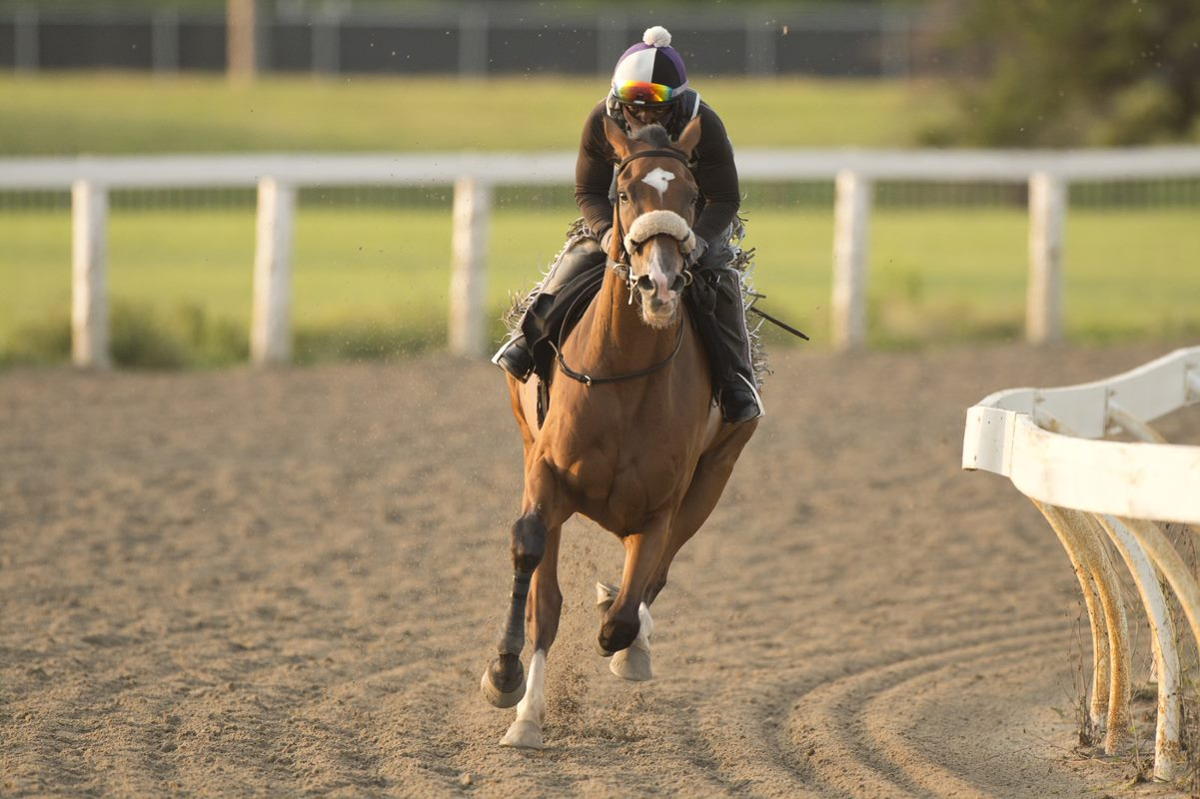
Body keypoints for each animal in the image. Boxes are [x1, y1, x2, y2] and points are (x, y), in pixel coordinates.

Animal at [482, 113, 753, 748]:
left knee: (655, 577)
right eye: (625, 193)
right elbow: (535, 574)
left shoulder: (661, 506)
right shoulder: (546, 475)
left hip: (714, 476)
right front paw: (512, 691)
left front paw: (620, 637)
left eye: (692, 194)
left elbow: (627, 611)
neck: (626, 376)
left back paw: (631, 644)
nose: (661, 284)